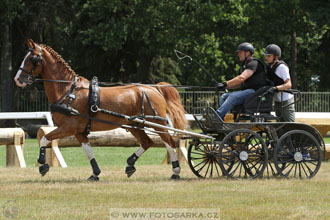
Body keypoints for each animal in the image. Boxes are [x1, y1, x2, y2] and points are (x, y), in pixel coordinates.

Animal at [14, 39, 187, 180]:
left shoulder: (68, 127)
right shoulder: (79, 131)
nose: (17, 79)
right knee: (147, 142)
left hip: (157, 123)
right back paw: (130, 164)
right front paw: (95, 173)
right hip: (134, 125)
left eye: (31, 59)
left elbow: (44, 139)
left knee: (170, 142)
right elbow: (88, 151)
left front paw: (43, 164)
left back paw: (175, 171)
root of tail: (155, 88)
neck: (68, 92)